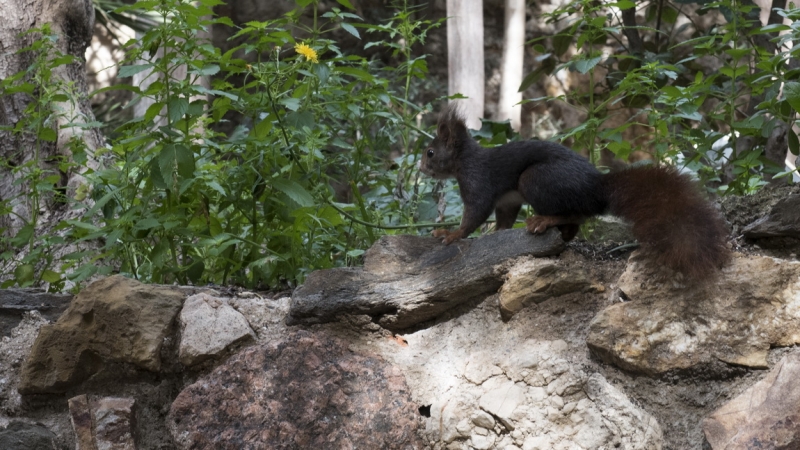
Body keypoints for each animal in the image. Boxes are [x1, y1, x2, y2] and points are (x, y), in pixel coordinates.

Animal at [418, 105, 732, 280]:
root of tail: (597, 188)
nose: (420, 169)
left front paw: (450, 234)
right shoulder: (507, 201)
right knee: (577, 221)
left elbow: (474, 214)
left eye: (430, 152)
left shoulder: (478, 182)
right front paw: (495, 234)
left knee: (574, 213)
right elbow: (503, 220)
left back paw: (544, 221)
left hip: (535, 180)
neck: (465, 160)